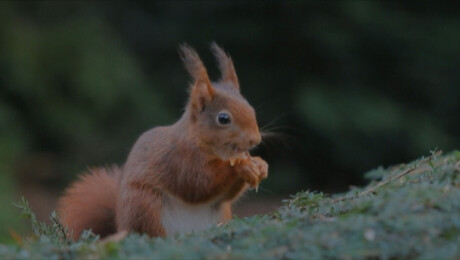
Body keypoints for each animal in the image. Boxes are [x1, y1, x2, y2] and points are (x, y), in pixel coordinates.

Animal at [58, 42, 268, 240]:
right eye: (223, 119)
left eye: (251, 108)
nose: (255, 139)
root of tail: (121, 226)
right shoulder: (178, 158)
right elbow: (199, 183)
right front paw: (240, 167)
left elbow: (227, 195)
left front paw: (260, 165)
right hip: (146, 206)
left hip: (220, 215)